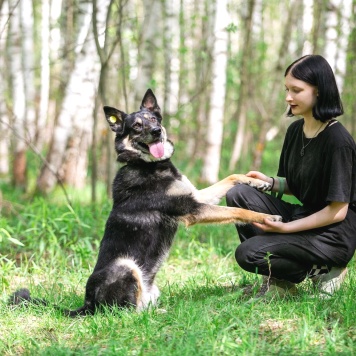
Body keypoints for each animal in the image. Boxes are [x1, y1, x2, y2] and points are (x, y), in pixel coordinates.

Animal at [11, 90, 280, 316]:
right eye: (137, 126)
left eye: (154, 119)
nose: (156, 131)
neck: (148, 165)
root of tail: (87, 304)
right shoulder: (193, 209)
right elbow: (238, 210)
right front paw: (268, 218)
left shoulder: (196, 197)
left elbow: (231, 177)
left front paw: (259, 181)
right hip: (126, 267)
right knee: (123, 313)